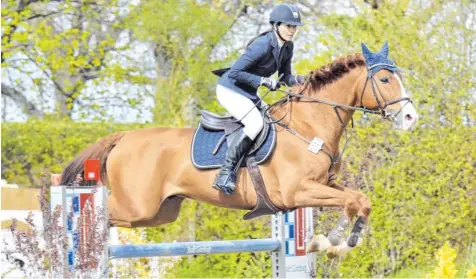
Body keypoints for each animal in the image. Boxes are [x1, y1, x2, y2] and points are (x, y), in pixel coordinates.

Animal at [61, 42, 418, 258]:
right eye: (385, 80)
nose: (411, 117)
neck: (307, 126)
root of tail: (123, 137)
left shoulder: (324, 185)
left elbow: (359, 200)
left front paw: (343, 241)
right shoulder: (298, 191)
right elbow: (350, 202)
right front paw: (330, 241)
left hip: (159, 212)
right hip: (137, 206)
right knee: (95, 214)